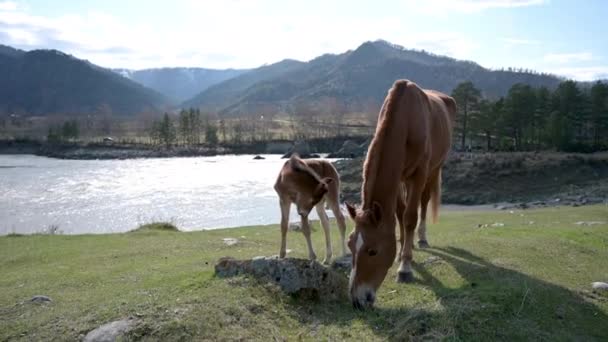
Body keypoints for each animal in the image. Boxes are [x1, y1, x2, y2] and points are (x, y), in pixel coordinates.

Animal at [344, 80, 454, 310]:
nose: (357, 300)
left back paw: (421, 239)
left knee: (423, 203)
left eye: (373, 251)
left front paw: (405, 268)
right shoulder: (397, 177)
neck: (407, 118)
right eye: (350, 244)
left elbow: (410, 217)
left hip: (434, 169)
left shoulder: (419, 174)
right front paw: (403, 249)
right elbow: (399, 214)